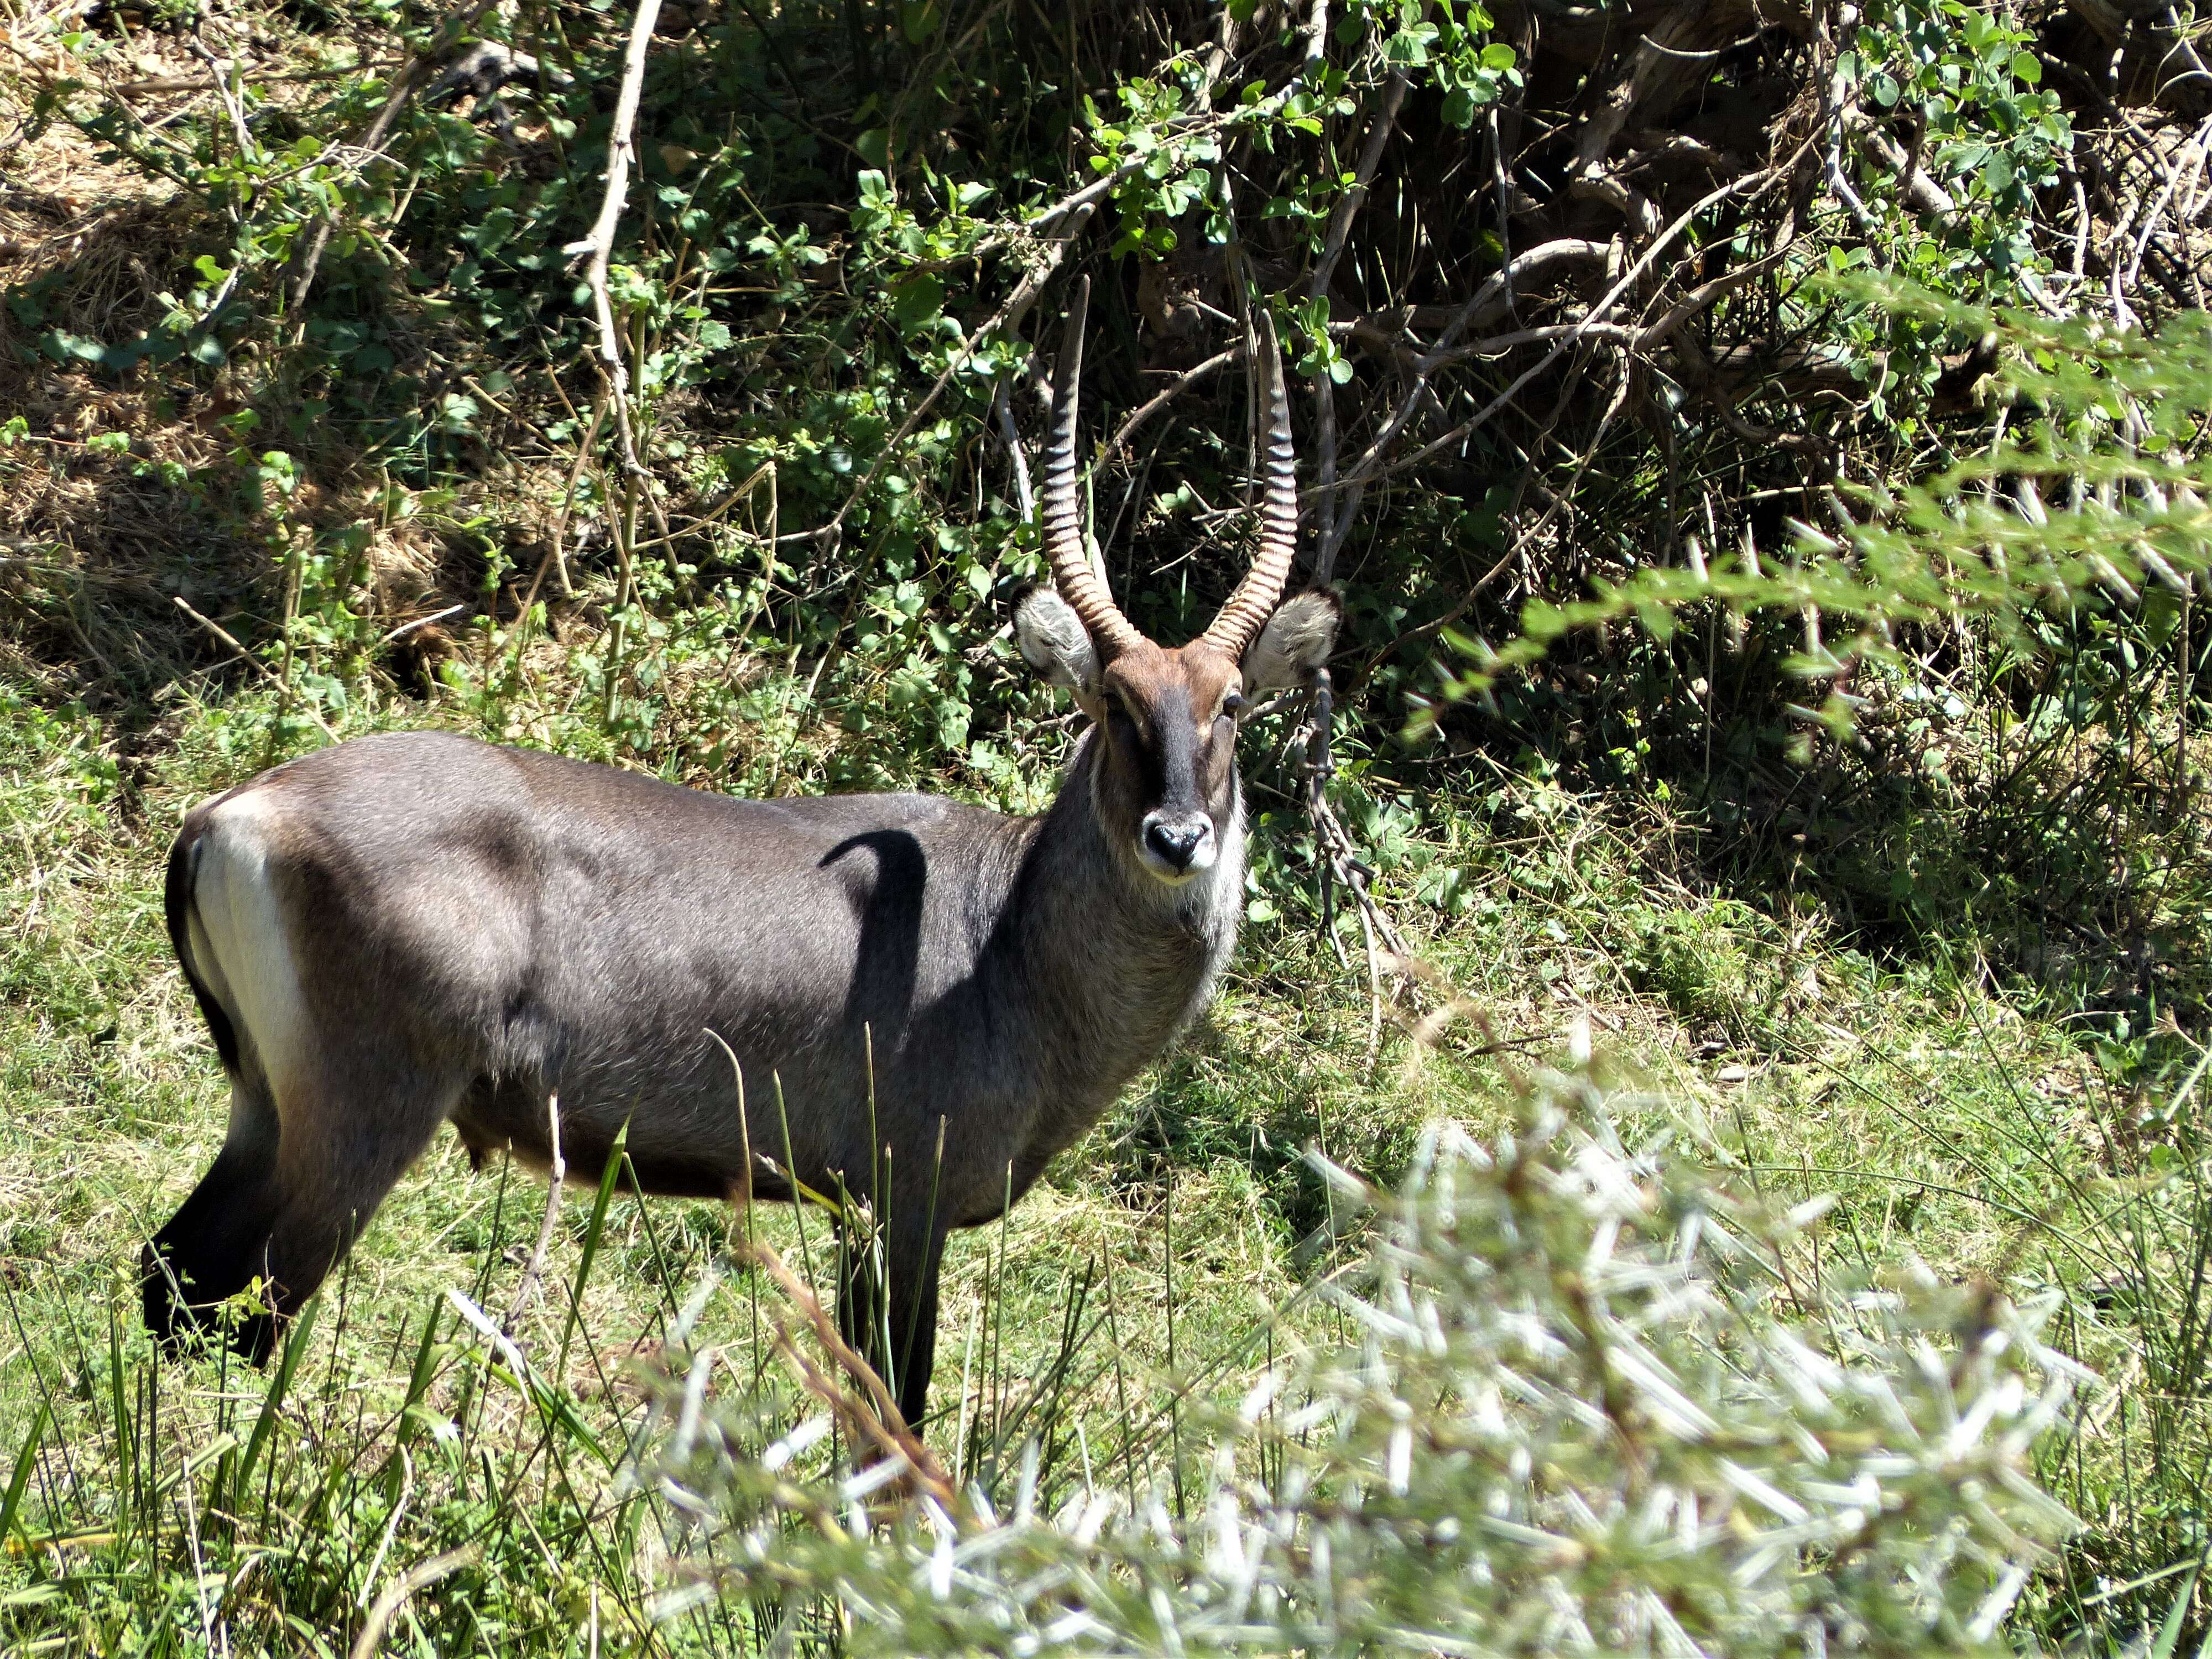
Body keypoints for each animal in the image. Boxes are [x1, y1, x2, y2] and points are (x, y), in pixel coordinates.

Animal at [152, 285, 1345, 1433]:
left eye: (1231, 703)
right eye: (1113, 703)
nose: (1177, 838)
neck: (1004, 936)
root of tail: (234, 810)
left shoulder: (856, 1216)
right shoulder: (901, 1206)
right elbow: (891, 1419)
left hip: (266, 1109)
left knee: (175, 1284)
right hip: (358, 1121)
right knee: (244, 1309)